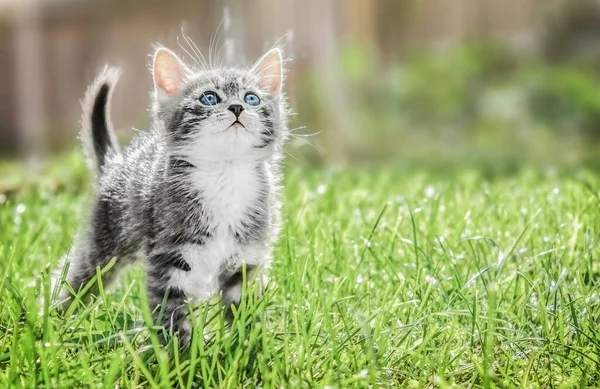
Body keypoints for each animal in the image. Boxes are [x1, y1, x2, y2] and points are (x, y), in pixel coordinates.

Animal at [52, 44, 288, 342]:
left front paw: (247, 346)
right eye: (209, 98)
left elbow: (243, 306)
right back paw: (54, 322)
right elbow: (171, 308)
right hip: (103, 242)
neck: (225, 172)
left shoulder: (246, 254)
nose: (237, 107)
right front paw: (181, 351)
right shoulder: (169, 255)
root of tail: (115, 165)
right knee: (78, 279)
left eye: (252, 98)